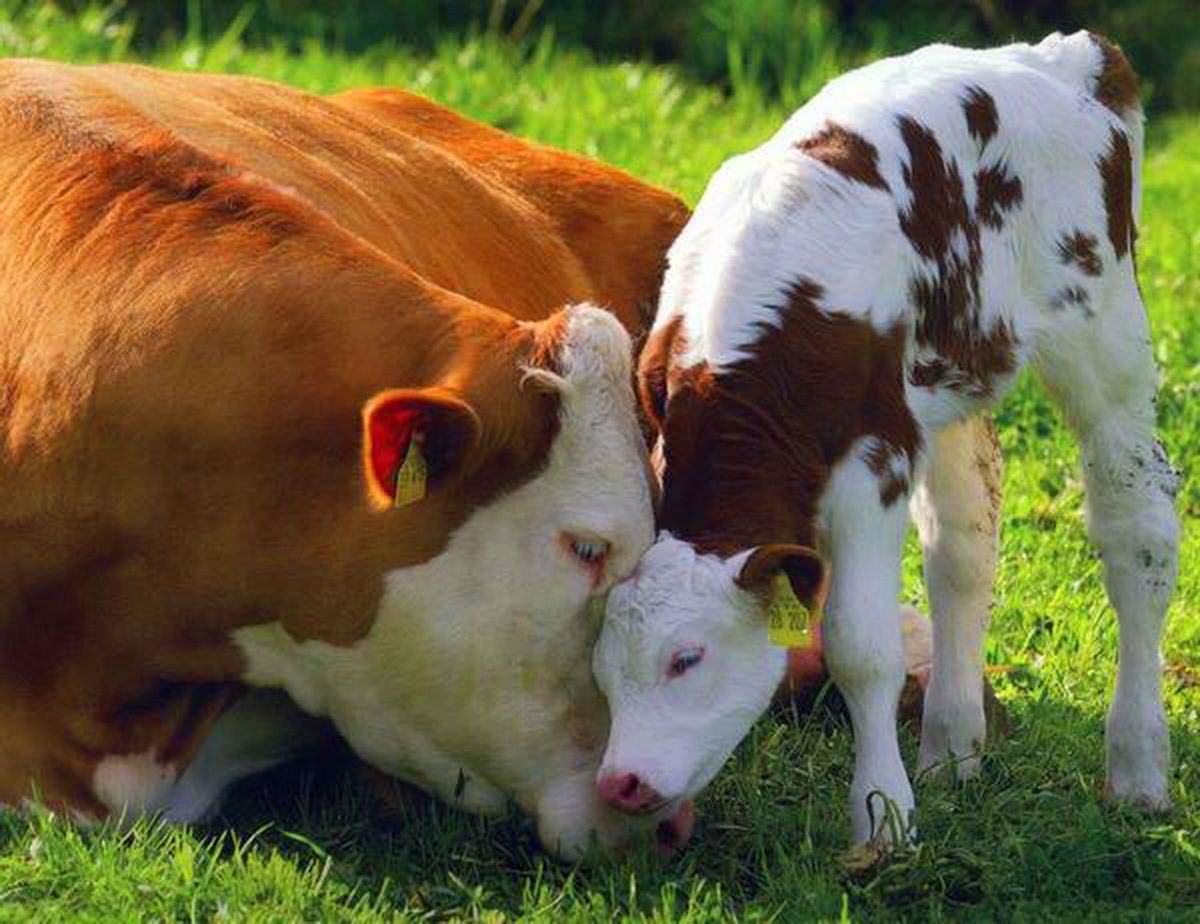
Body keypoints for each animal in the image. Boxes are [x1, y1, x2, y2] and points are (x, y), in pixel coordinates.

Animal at [592, 32, 1179, 849]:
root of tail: (1070, 56)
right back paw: (952, 749)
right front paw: (909, 792)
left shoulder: (873, 459)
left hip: (1103, 326)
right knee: (964, 546)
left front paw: (883, 818)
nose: (620, 783)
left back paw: (1138, 770)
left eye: (686, 658)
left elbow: (860, 647)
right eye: (601, 671)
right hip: (952, 373)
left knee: (1137, 529)